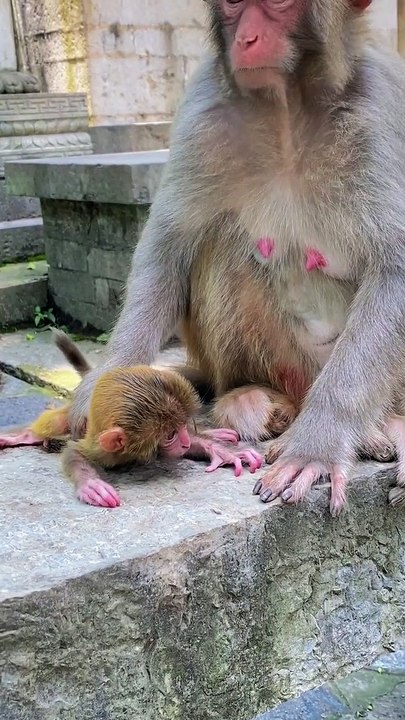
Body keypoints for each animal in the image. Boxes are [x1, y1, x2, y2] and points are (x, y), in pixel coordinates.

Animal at [0, 332, 262, 507]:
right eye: (170, 435)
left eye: (179, 428)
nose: (185, 441)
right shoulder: (102, 448)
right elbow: (74, 452)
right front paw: (90, 484)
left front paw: (222, 451)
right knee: (59, 421)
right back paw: (29, 434)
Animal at [66, 0, 405, 515]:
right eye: (233, 4)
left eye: (279, 5)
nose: (246, 39)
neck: (288, 108)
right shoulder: (203, 108)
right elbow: (168, 244)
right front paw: (106, 379)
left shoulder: (377, 111)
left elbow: (394, 269)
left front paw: (317, 445)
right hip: (288, 364)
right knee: (221, 240)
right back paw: (251, 395)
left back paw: (383, 426)